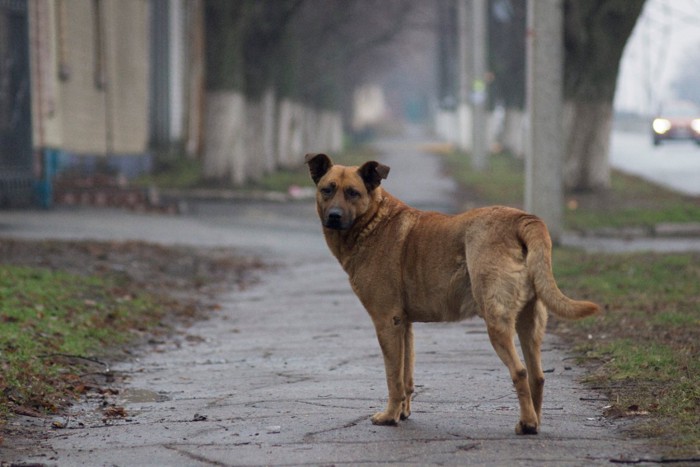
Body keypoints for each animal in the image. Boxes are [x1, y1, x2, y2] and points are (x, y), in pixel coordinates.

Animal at [304, 153, 600, 436]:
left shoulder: (386, 322)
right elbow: (407, 375)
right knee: (537, 376)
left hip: (496, 322)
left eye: (353, 193)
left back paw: (527, 425)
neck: (372, 221)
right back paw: (533, 422)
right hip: (529, 323)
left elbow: (393, 378)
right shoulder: (404, 325)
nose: (334, 216)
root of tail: (522, 219)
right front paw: (403, 412)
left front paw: (389, 416)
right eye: (327, 189)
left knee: (520, 372)